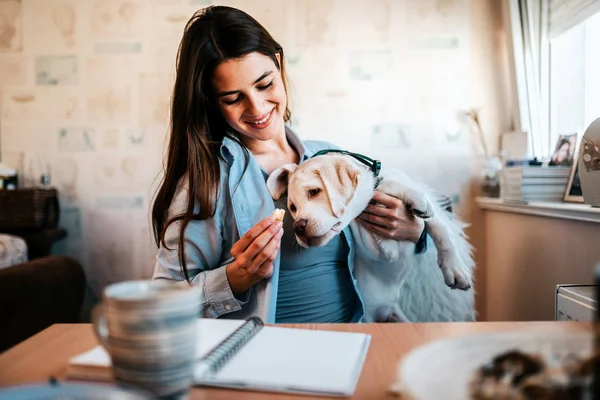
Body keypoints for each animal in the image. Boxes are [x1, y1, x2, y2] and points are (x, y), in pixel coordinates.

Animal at [266, 152, 474, 324]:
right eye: (293, 207)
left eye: (314, 192)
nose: (298, 228)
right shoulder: (374, 247)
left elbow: (441, 229)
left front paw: (455, 269)